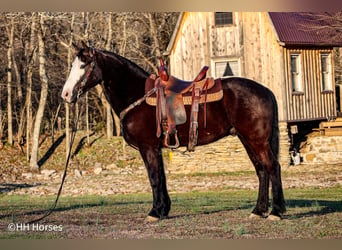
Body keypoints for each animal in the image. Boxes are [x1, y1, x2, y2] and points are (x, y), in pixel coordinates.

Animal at [61, 42, 286, 222]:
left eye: (83, 65)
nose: (66, 94)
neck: (138, 95)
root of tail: (266, 91)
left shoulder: (148, 147)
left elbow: (154, 178)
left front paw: (154, 212)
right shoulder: (156, 149)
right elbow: (161, 178)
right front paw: (163, 210)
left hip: (257, 140)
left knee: (272, 167)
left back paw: (276, 212)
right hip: (247, 139)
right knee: (261, 170)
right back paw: (258, 211)